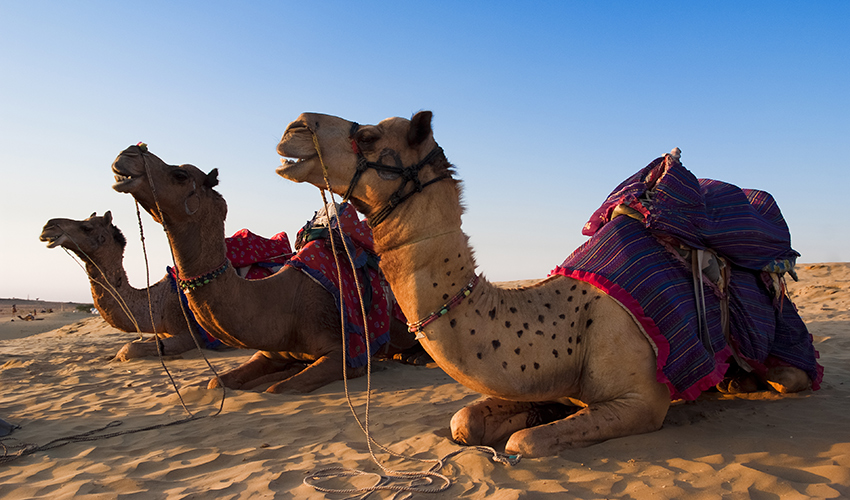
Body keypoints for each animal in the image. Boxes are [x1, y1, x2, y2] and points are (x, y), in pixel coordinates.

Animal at [40, 212, 202, 360]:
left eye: (87, 227)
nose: (47, 227)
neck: (159, 303)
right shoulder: (160, 333)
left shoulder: (190, 334)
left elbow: (129, 348)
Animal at [110, 144, 423, 394]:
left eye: (180, 175)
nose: (128, 153)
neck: (285, 302)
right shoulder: (270, 351)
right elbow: (217, 382)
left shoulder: (344, 353)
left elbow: (280, 388)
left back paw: (410, 357)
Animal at [275, 111, 816, 457]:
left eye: (366, 135)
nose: (293, 128)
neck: (567, 331)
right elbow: (464, 422)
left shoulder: (642, 401)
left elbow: (524, 443)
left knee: (789, 376)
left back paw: (745, 379)